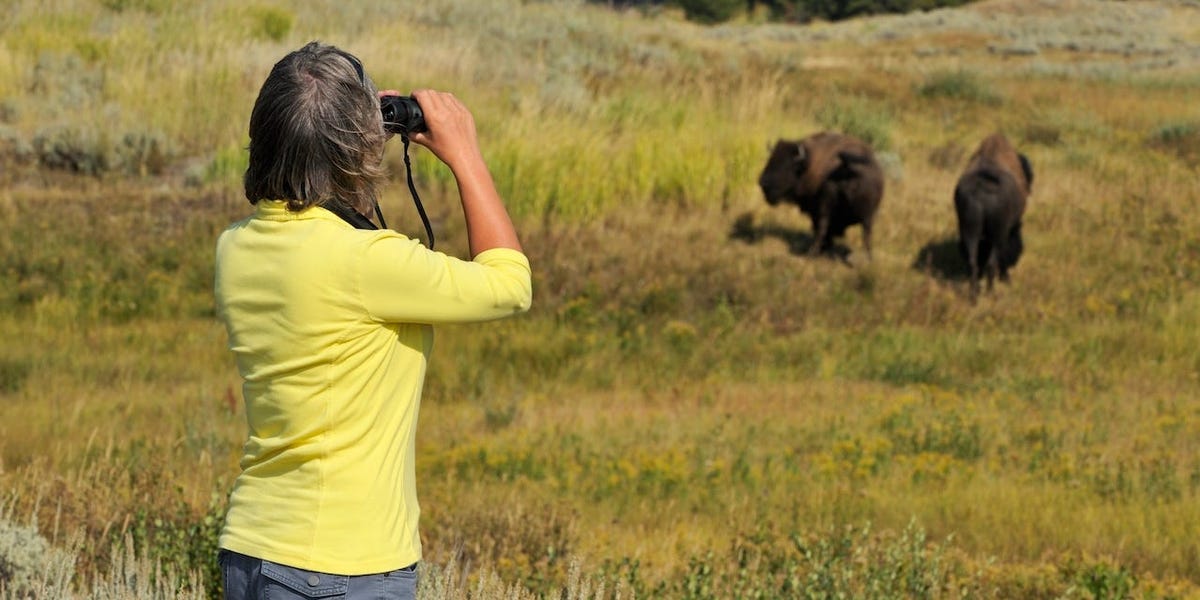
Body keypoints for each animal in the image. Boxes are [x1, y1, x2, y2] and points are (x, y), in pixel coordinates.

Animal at [950, 132, 1036, 298]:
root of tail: (981, 188)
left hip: (969, 229)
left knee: (972, 262)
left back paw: (974, 294)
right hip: (998, 234)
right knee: (992, 263)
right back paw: (991, 292)